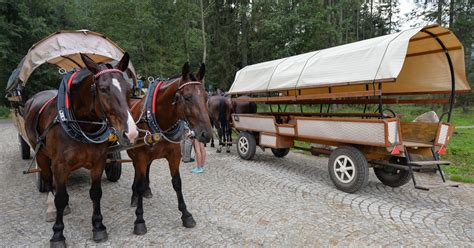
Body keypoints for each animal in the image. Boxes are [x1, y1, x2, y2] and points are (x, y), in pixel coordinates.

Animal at [23, 52, 137, 246]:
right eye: (103, 89)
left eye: (129, 89)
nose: (131, 133)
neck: (83, 125)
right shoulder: (60, 164)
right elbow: (60, 198)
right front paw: (58, 234)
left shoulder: (98, 161)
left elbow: (96, 193)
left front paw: (98, 226)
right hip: (42, 155)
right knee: (48, 179)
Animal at [128, 62, 213, 234]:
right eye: (187, 98)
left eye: (206, 97)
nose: (206, 134)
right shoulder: (141, 156)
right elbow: (139, 183)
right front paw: (139, 219)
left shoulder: (174, 155)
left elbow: (177, 183)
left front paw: (186, 215)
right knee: (137, 172)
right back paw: (135, 195)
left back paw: (147, 190)